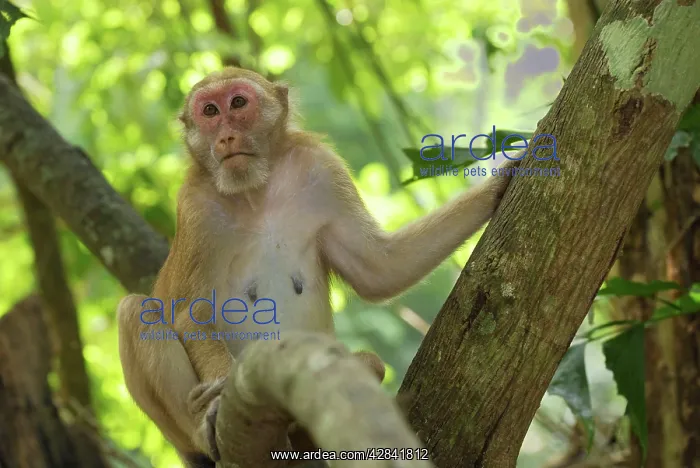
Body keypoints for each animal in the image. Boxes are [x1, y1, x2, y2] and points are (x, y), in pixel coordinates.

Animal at [117, 67, 515, 467]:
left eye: (238, 103)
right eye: (210, 111)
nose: (226, 136)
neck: (255, 193)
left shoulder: (322, 169)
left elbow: (379, 269)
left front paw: (499, 184)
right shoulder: (196, 209)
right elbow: (190, 313)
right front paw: (214, 403)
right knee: (136, 310)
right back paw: (203, 426)